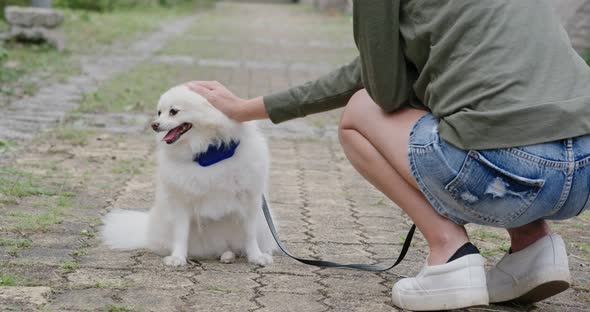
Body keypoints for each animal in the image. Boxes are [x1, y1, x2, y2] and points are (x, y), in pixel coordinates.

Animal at [102, 84, 278, 266]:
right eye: (159, 112)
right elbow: (181, 234)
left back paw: (231, 255)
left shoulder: (250, 199)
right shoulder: (181, 201)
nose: (154, 125)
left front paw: (256, 256)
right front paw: (177, 258)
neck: (208, 152)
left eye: (173, 111)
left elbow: (250, 233)